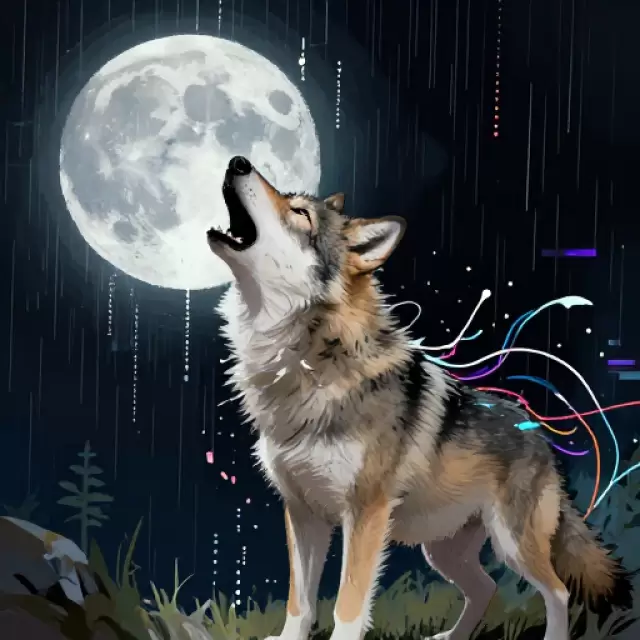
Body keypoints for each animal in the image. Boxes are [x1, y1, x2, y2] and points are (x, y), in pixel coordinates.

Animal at [206, 155, 632, 640]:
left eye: (300, 214)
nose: (238, 161)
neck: (306, 363)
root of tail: (537, 432)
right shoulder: (302, 514)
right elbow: (300, 604)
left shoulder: (366, 515)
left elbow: (347, 608)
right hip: (441, 549)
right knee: (486, 588)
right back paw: (451, 637)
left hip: (511, 544)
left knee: (557, 591)